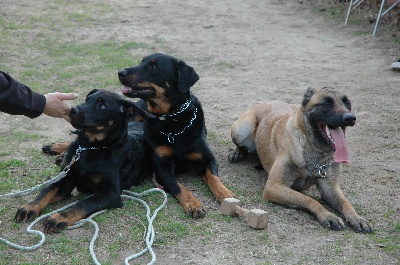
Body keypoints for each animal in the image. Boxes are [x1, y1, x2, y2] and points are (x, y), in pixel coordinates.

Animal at [14, 89, 154, 231]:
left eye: (101, 106)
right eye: (87, 99)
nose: (72, 110)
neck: (90, 148)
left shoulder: (111, 193)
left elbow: (84, 203)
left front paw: (60, 217)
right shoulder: (65, 180)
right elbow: (46, 190)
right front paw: (30, 206)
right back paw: (56, 150)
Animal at [230, 86, 374, 231]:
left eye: (347, 103)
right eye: (327, 103)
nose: (350, 118)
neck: (315, 152)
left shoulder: (330, 188)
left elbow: (346, 203)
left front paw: (357, 218)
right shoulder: (274, 187)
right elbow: (309, 199)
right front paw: (328, 216)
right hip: (242, 129)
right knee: (240, 145)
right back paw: (237, 153)